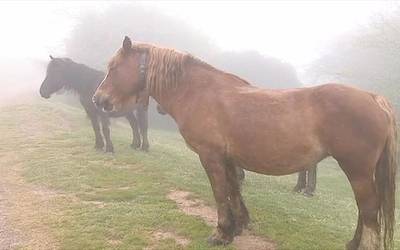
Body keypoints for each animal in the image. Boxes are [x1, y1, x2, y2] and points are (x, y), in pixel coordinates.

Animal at [93, 37, 396, 250]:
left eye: (114, 68)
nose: (98, 99)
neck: (199, 92)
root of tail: (373, 98)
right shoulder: (228, 159)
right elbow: (233, 189)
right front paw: (237, 227)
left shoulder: (211, 156)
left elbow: (219, 192)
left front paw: (220, 233)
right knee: (366, 209)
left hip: (356, 169)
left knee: (369, 208)